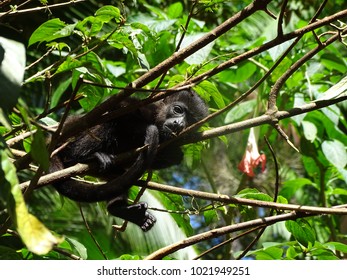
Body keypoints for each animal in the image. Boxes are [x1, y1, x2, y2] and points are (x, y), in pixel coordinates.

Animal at [50, 90, 208, 232]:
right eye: (177, 110)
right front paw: (145, 130)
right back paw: (84, 156)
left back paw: (122, 210)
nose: (179, 124)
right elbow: (119, 107)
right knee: (107, 123)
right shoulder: (144, 107)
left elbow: (175, 157)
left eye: (191, 121)